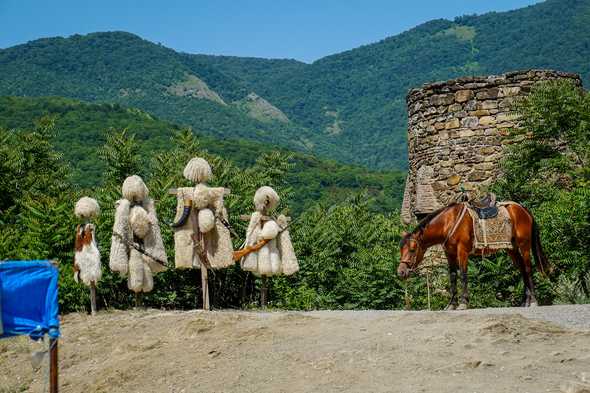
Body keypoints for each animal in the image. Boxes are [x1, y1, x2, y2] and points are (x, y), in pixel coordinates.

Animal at [398, 202, 552, 310]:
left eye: (412, 249)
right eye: (401, 249)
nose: (401, 272)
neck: (448, 222)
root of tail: (523, 209)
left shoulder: (462, 251)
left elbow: (463, 274)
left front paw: (463, 303)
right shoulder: (450, 254)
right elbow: (453, 277)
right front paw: (451, 304)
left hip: (524, 246)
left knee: (527, 269)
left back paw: (533, 301)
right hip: (512, 249)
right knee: (522, 270)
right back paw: (524, 301)